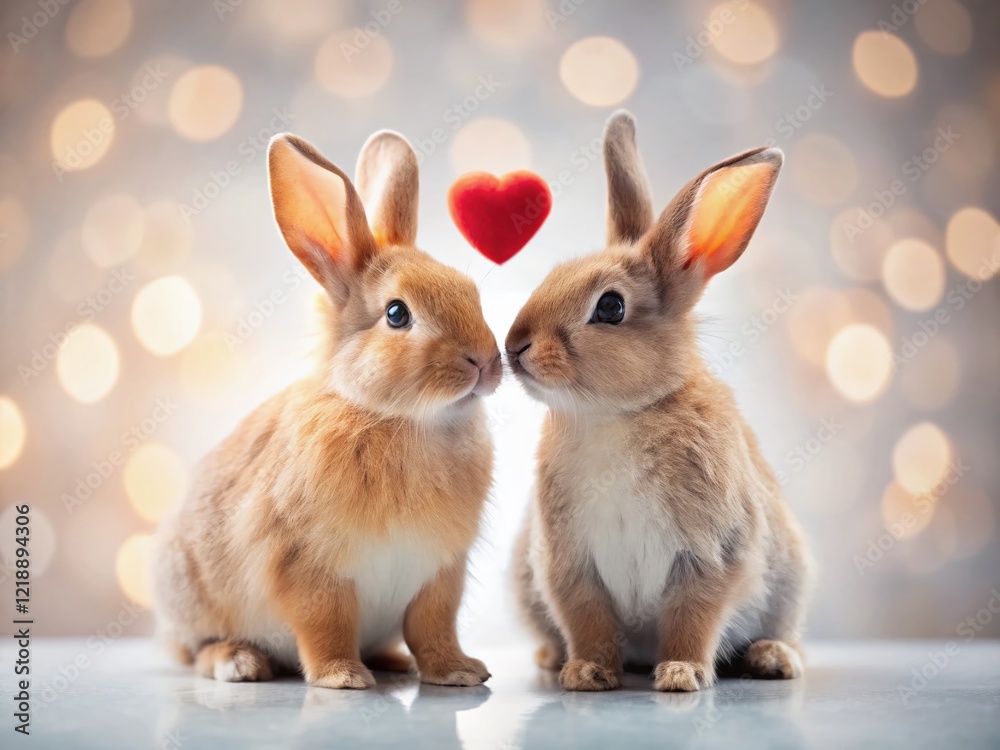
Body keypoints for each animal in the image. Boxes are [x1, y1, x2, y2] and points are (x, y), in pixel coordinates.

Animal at [151, 130, 502, 689]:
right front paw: (343, 679)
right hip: (193, 597)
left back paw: (392, 660)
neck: (402, 419)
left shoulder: (439, 574)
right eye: (397, 314)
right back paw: (239, 663)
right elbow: (325, 626)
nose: (486, 361)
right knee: (197, 649)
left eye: (471, 293)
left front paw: (460, 672)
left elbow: (433, 629)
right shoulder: (310, 568)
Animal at [506, 110, 813, 692]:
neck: (618, 415)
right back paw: (553, 658)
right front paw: (587, 673)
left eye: (610, 307)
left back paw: (772, 658)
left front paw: (681, 674)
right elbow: (587, 617)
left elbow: (695, 615)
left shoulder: (711, 554)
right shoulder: (569, 562)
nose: (514, 346)